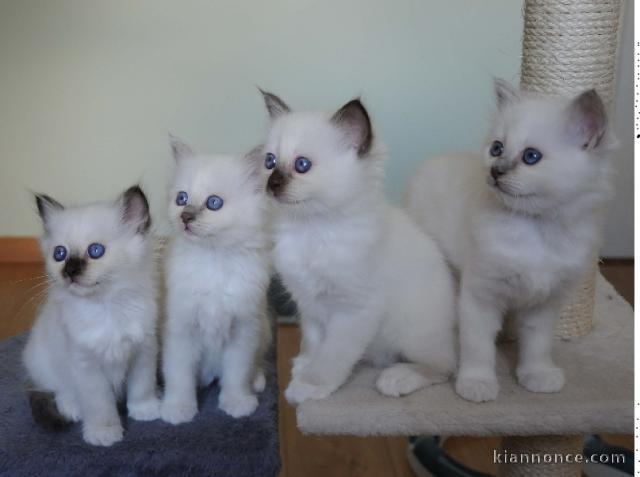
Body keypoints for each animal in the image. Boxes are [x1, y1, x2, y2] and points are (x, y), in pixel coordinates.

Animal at [24, 185, 160, 446]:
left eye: (95, 251)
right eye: (60, 254)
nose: (69, 271)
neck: (105, 307)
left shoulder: (143, 352)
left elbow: (142, 386)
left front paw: (145, 410)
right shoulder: (86, 364)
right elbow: (100, 404)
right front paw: (104, 433)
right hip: (43, 360)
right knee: (59, 388)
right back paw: (72, 407)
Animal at [161, 136, 272, 422]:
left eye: (213, 203)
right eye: (181, 198)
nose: (185, 216)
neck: (213, 262)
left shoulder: (243, 329)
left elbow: (236, 373)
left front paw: (237, 403)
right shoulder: (180, 329)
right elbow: (179, 375)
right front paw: (179, 409)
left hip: (263, 329)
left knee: (255, 363)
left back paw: (256, 382)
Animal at [258, 89, 458, 402]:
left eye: (302, 165)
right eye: (270, 162)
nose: (272, 183)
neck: (310, 230)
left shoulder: (355, 310)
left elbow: (332, 356)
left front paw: (307, 386)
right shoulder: (309, 304)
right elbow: (314, 342)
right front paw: (304, 364)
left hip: (412, 334)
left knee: (445, 366)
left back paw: (396, 378)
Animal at [408, 79, 612, 402]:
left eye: (531, 157)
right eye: (497, 149)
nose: (496, 170)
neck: (537, 228)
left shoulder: (545, 302)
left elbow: (537, 345)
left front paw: (537, 375)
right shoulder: (480, 294)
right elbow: (477, 346)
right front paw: (476, 383)